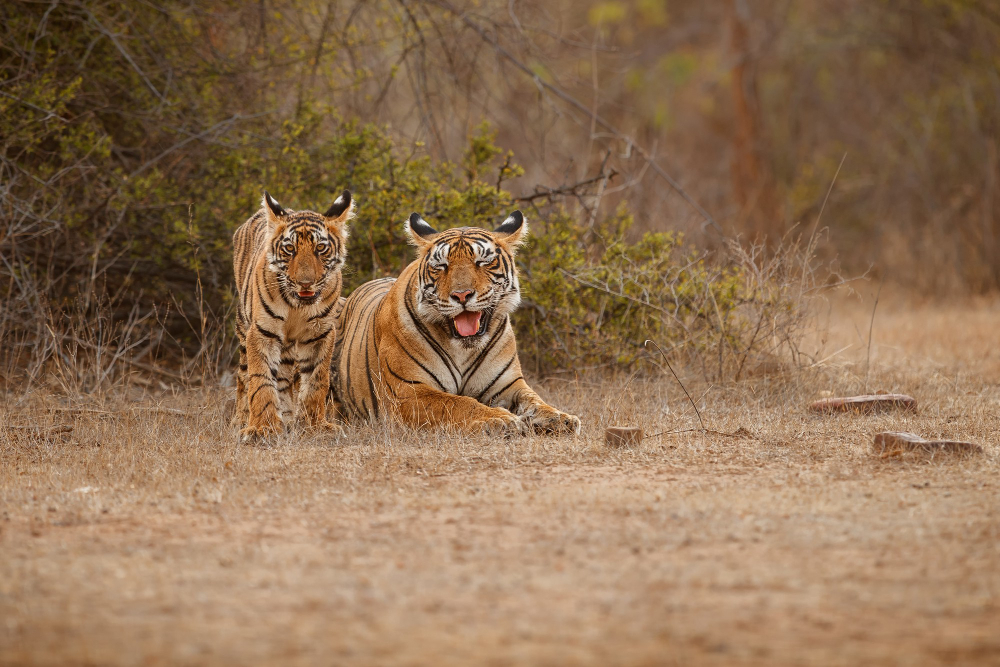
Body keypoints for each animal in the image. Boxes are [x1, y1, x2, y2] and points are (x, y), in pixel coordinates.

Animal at [230, 188, 356, 440]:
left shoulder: (320, 334)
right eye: (290, 249)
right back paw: (240, 420)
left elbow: (316, 381)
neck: (297, 306)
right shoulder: (262, 332)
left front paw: (315, 426)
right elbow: (261, 381)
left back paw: (287, 418)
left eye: (320, 248)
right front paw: (262, 428)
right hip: (243, 328)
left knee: (284, 378)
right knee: (243, 377)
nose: (305, 283)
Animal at [332, 211, 580, 436]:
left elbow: (535, 401)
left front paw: (561, 418)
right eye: (442, 265)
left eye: (483, 262)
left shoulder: (509, 385)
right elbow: (457, 403)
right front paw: (500, 419)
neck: (463, 349)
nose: (462, 295)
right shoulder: (408, 391)